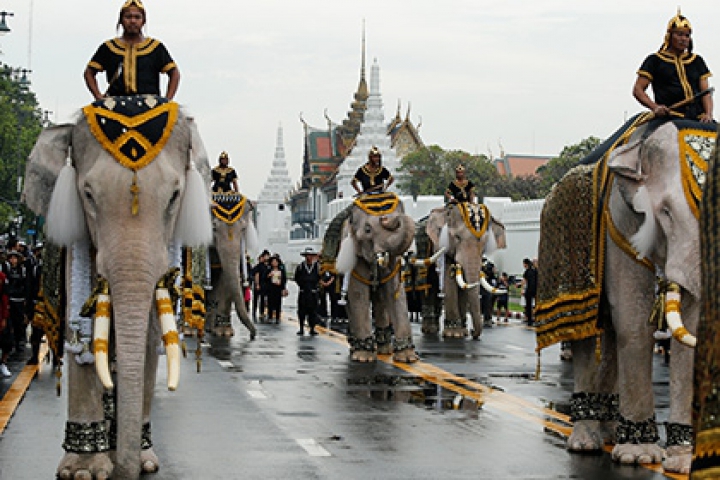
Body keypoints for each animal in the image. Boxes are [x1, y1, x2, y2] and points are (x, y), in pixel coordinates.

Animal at [22, 95, 212, 478]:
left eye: (174, 196)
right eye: (88, 195)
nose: (128, 471)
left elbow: (151, 336)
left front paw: (144, 462)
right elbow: (79, 332)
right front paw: (83, 472)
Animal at [330, 191, 416, 360]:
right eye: (368, 230)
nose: (386, 218)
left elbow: (395, 293)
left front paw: (408, 359)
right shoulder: (355, 256)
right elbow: (358, 294)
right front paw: (364, 358)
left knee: (380, 300)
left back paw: (384, 350)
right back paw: (356, 348)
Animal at [424, 202, 510, 338]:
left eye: (485, 243)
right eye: (457, 237)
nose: (472, 331)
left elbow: (463, 284)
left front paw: (463, 332)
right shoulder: (442, 246)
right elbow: (449, 281)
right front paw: (454, 334)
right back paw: (430, 330)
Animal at [536, 118, 716, 474]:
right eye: (666, 213)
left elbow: (688, 326)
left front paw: (682, 463)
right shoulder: (619, 222)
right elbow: (633, 323)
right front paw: (639, 456)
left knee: (609, 337)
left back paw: (608, 433)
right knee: (588, 335)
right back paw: (586, 443)